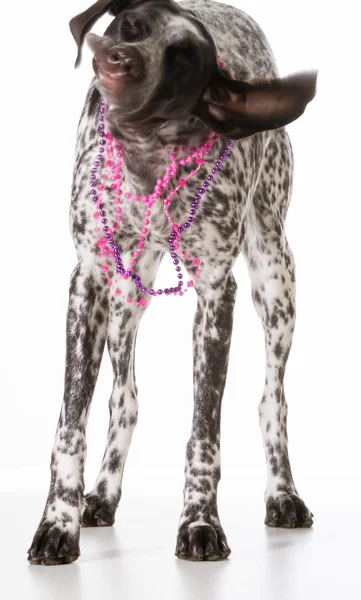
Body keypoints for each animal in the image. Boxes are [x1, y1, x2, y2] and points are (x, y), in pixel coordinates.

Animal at [27, 0, 316, 564]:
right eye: (130, 25)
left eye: (182, 62)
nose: (119, 58)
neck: (147, 158)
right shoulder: (88, 283)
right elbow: (71, 424)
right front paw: (58, 523)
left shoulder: (217, 294)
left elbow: (205, 429)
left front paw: (200, 522)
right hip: (125, 300)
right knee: (125, 399)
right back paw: (103, 495)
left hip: (275, 280)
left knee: (272, 399)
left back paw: (283, 495)